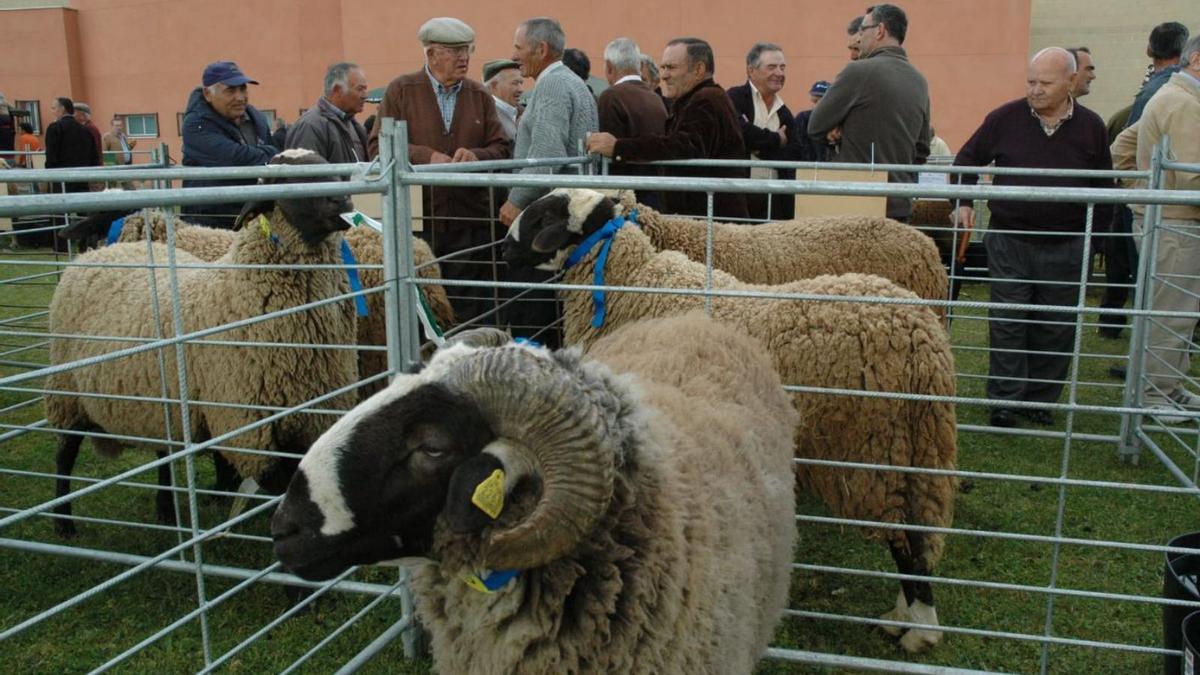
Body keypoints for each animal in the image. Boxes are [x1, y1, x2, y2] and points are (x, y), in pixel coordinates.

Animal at [44, 149, 360, 533]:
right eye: (285, 181)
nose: (342, 201)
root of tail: (93, 257)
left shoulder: (312, 413)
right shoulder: (246, 422)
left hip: (160, 398)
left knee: (164, 454)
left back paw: (166, 510)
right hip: (67, 391)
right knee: (65, 454)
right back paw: (63, 521)